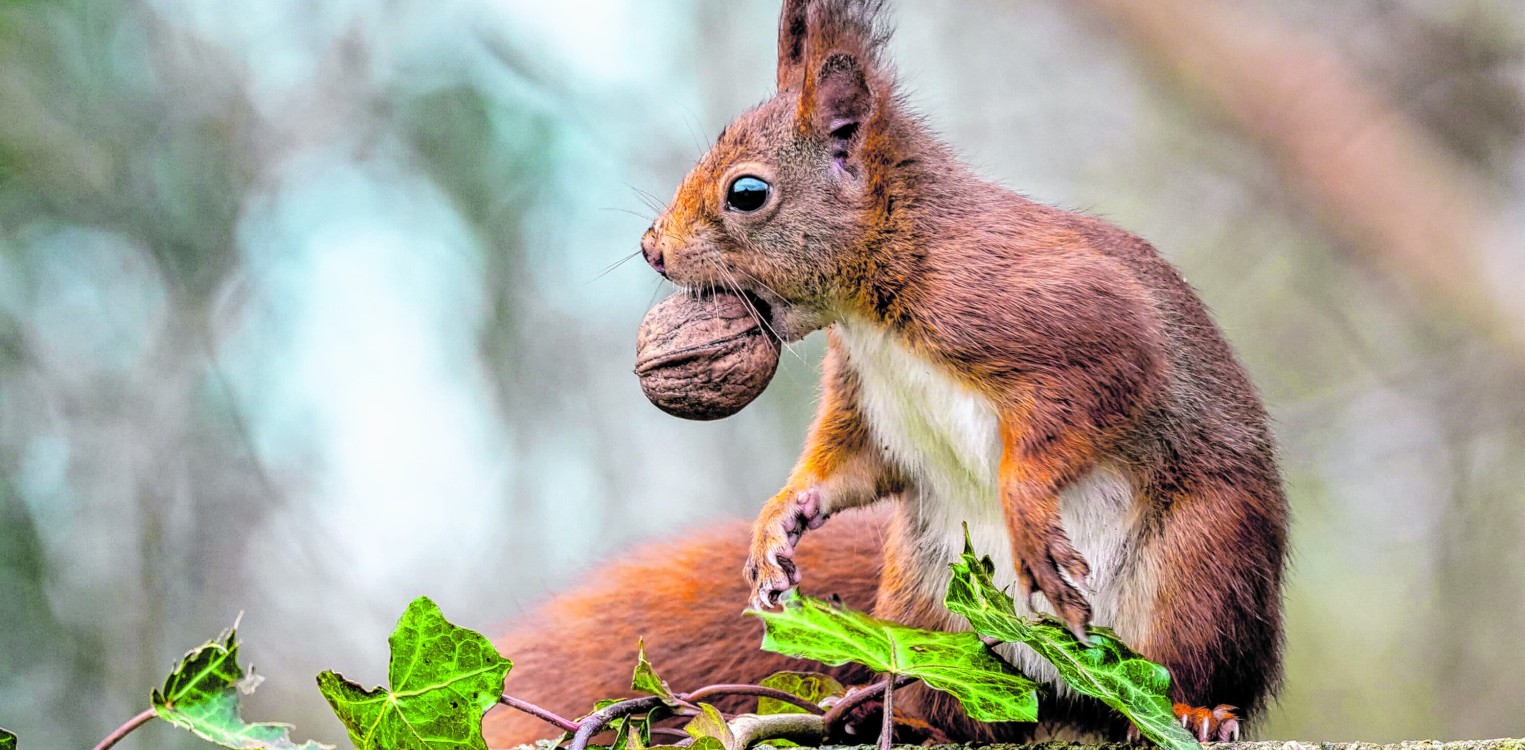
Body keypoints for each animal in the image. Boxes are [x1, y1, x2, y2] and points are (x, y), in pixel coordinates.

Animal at [484, 0, 1287, 743]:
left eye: (747, 193)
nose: (652, 249)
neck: (871, 309)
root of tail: (1060, 689)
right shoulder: (862, 393)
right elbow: (849, 464)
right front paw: (780, 521)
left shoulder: (1065, 317)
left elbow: (1095, 393)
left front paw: (1028, 510)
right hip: (924, 596)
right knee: (941, 692)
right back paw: (903, 714)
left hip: (1200, 567)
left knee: (1194, 661)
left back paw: (1194, 711)